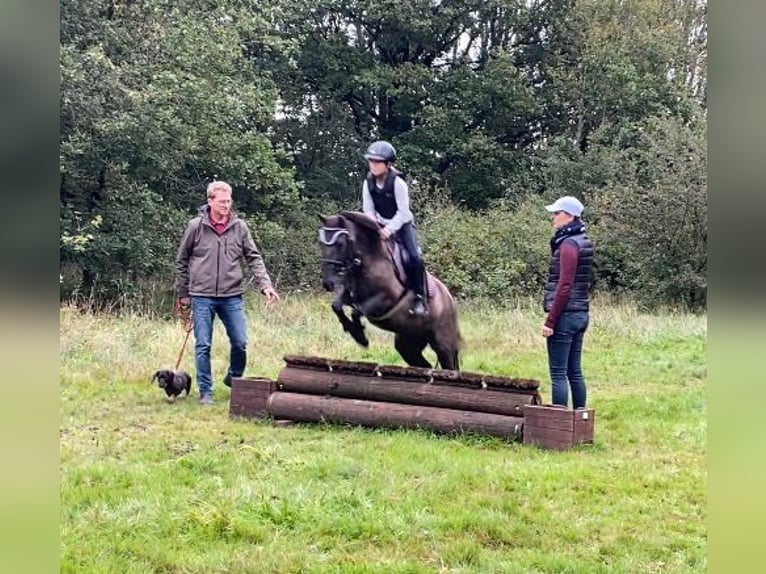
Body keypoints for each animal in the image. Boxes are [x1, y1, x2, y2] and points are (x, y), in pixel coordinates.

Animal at [318, 210, 462, 368]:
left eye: (340, 244)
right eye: (321, 244)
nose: (328, 283)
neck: (369, 260)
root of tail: (450, 300)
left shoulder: (385, 301)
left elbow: (356, 312)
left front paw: (360, 336)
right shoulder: (350, 295)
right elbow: (336, 306)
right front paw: (354, 332)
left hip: (443, 345)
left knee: (449, 366)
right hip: (408, 343)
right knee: (424, 365)